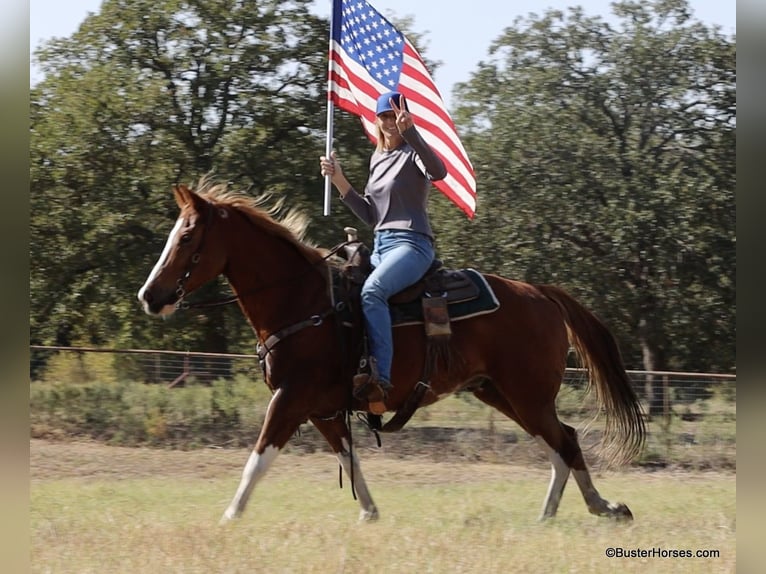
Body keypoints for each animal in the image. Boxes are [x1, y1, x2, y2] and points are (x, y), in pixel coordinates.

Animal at [137, 178, 646, 524]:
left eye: (187, 238)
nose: (150, 296)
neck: (304, 302)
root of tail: (539, 293)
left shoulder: (290, 399)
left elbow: (257, 461)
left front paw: (229, 517)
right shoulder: (323, 409)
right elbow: (349, 458)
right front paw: (370, 513)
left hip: (527, 393)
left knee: (564, 440)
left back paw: (597, 508)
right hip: (500, 392)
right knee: (561, 441)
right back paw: (562, 511)